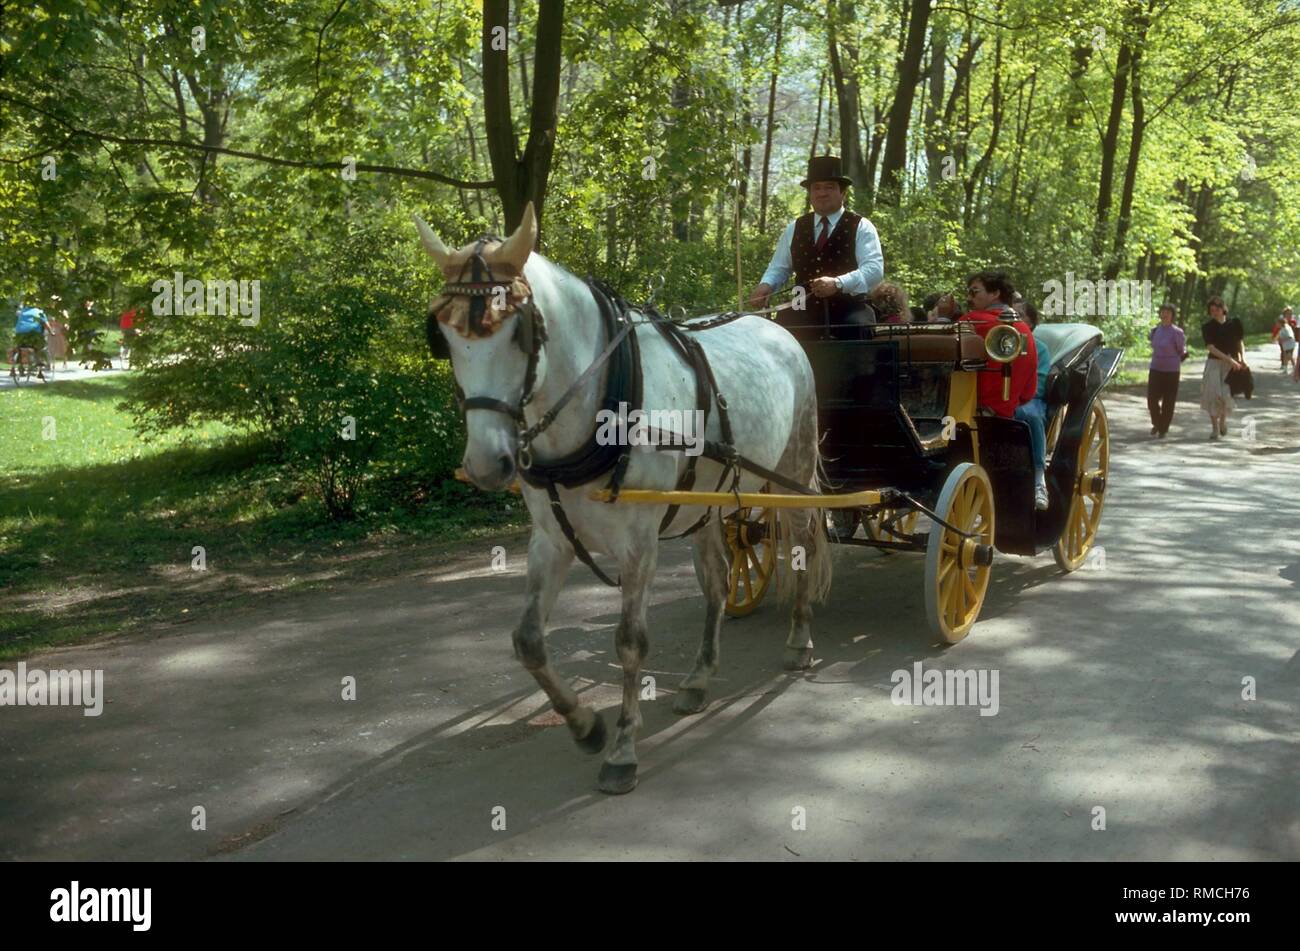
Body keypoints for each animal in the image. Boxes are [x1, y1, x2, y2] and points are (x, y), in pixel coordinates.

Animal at [416, 206, 832, 795]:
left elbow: (630, 642)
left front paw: (621, 750)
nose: (484, 465)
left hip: (792, 469)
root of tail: (777, 328)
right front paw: (585, 725)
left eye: (519, 332)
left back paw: (799, 641)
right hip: (704, 498)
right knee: (717, 580)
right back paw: (699, 678)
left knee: (799, 550)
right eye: (444, 336)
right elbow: (528, 641)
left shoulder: (638, 543)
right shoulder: (550, 540)